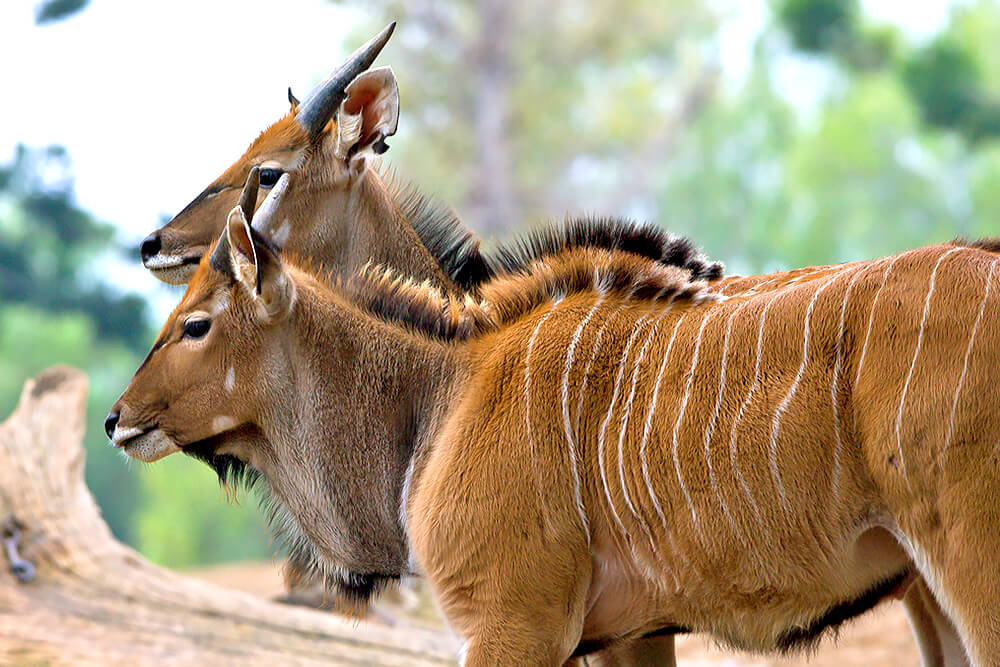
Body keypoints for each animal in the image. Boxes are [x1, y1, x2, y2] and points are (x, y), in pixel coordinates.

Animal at [109, 175, 1000, 664]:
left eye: (196, 324)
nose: (118, 418)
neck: (446, 390)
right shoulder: (625, 636)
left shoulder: (511, 625)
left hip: (967, 563)